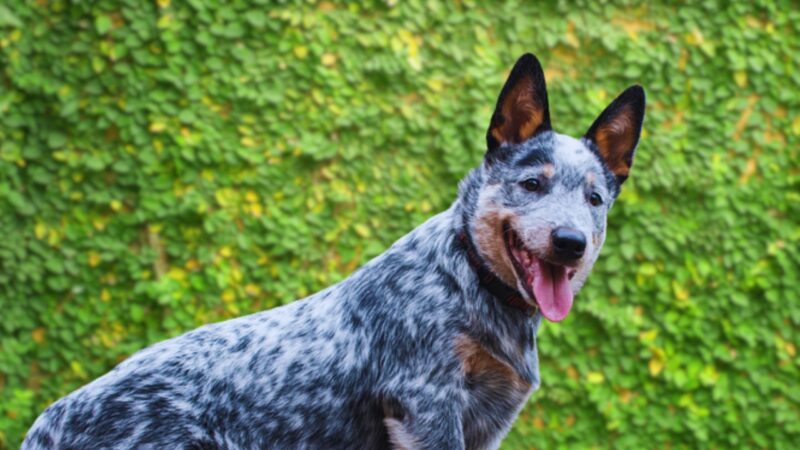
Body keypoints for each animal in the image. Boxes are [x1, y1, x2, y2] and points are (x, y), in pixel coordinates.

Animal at [25, 53, 648, 450]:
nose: (570, 243)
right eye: (533, 184)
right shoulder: (427, 408)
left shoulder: (487, 423)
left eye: (594, 198)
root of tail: (46, 426)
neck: (469, 281)